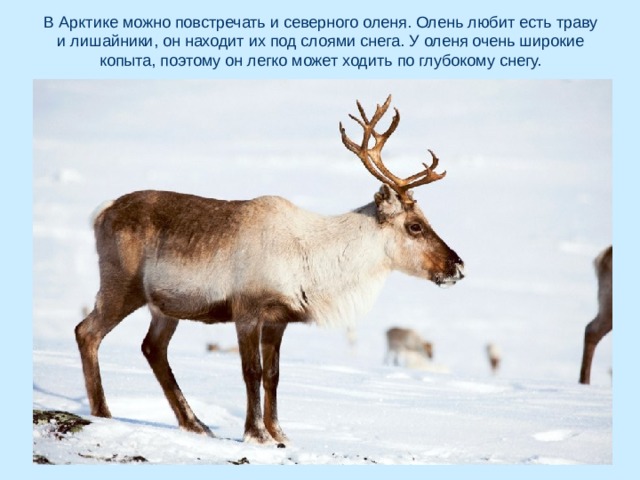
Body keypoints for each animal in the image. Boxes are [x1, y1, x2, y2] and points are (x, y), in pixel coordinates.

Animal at [74, 95, 465, 446]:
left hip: (164, 307)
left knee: (152, 348)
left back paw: (196, 424)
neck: (314, 257)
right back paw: (104, 412)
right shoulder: (247, 309)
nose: (458, 266)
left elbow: (274, 375)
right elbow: (252, 371)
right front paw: (256, 434)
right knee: (87, 332)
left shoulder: (279, 318)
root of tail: (102, 212)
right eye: (415, 226)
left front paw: (280, 434)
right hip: (121, 286)